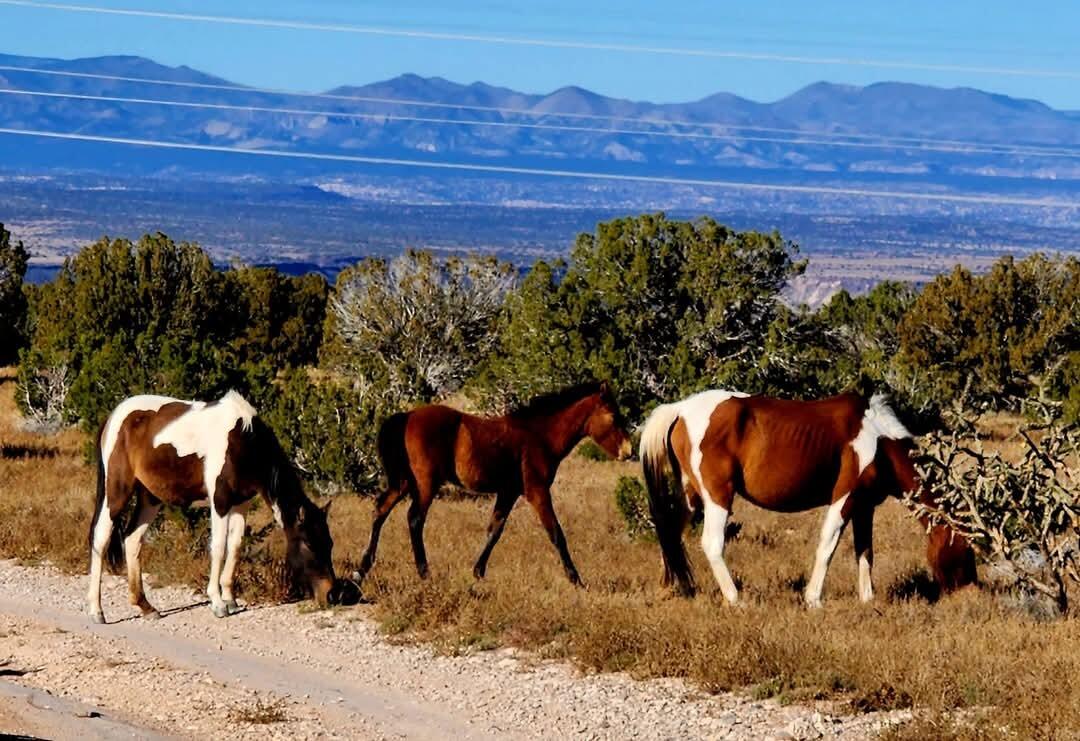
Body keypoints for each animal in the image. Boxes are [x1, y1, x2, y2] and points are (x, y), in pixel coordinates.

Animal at [88, 391, 356, 622]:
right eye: (308, 544)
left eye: (329, 543)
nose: (331, 594)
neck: (243, 441)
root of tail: (114, 417)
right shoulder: (220, 502)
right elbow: (218, 548)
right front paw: (217, 603)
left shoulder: (241, 504)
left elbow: (235, 547)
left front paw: (230, 599)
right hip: (117, 492)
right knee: (101, 538)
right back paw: (96, 610)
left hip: (150, 498)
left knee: (133, 539)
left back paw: (145, 606)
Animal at [354, 382, 630, 587]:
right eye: (614, 416)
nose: (627, 452)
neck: (539, 436)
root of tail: (407, 415)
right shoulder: (537, 491)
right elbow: (556, 533)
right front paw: (576, 579)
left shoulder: (508, 492)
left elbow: (494, 530)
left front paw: (478, 571)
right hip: (425, 484)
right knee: (414, 519)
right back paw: (424, 572)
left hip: (403, 482)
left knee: (380, 510)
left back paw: (362, 568)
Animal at [639, 391, 980, 604]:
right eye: (967, 551)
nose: (970, 593)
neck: (878, 440)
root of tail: (680, 410)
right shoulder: (844, 498)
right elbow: (827, 546)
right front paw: (813, 598)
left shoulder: (864, 507)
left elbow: (865, 552)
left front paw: (867, 598)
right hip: (717, 497)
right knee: (711, 543)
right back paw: (735, 599)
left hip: (691, 496)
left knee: (671, 532)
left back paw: (676, 587)